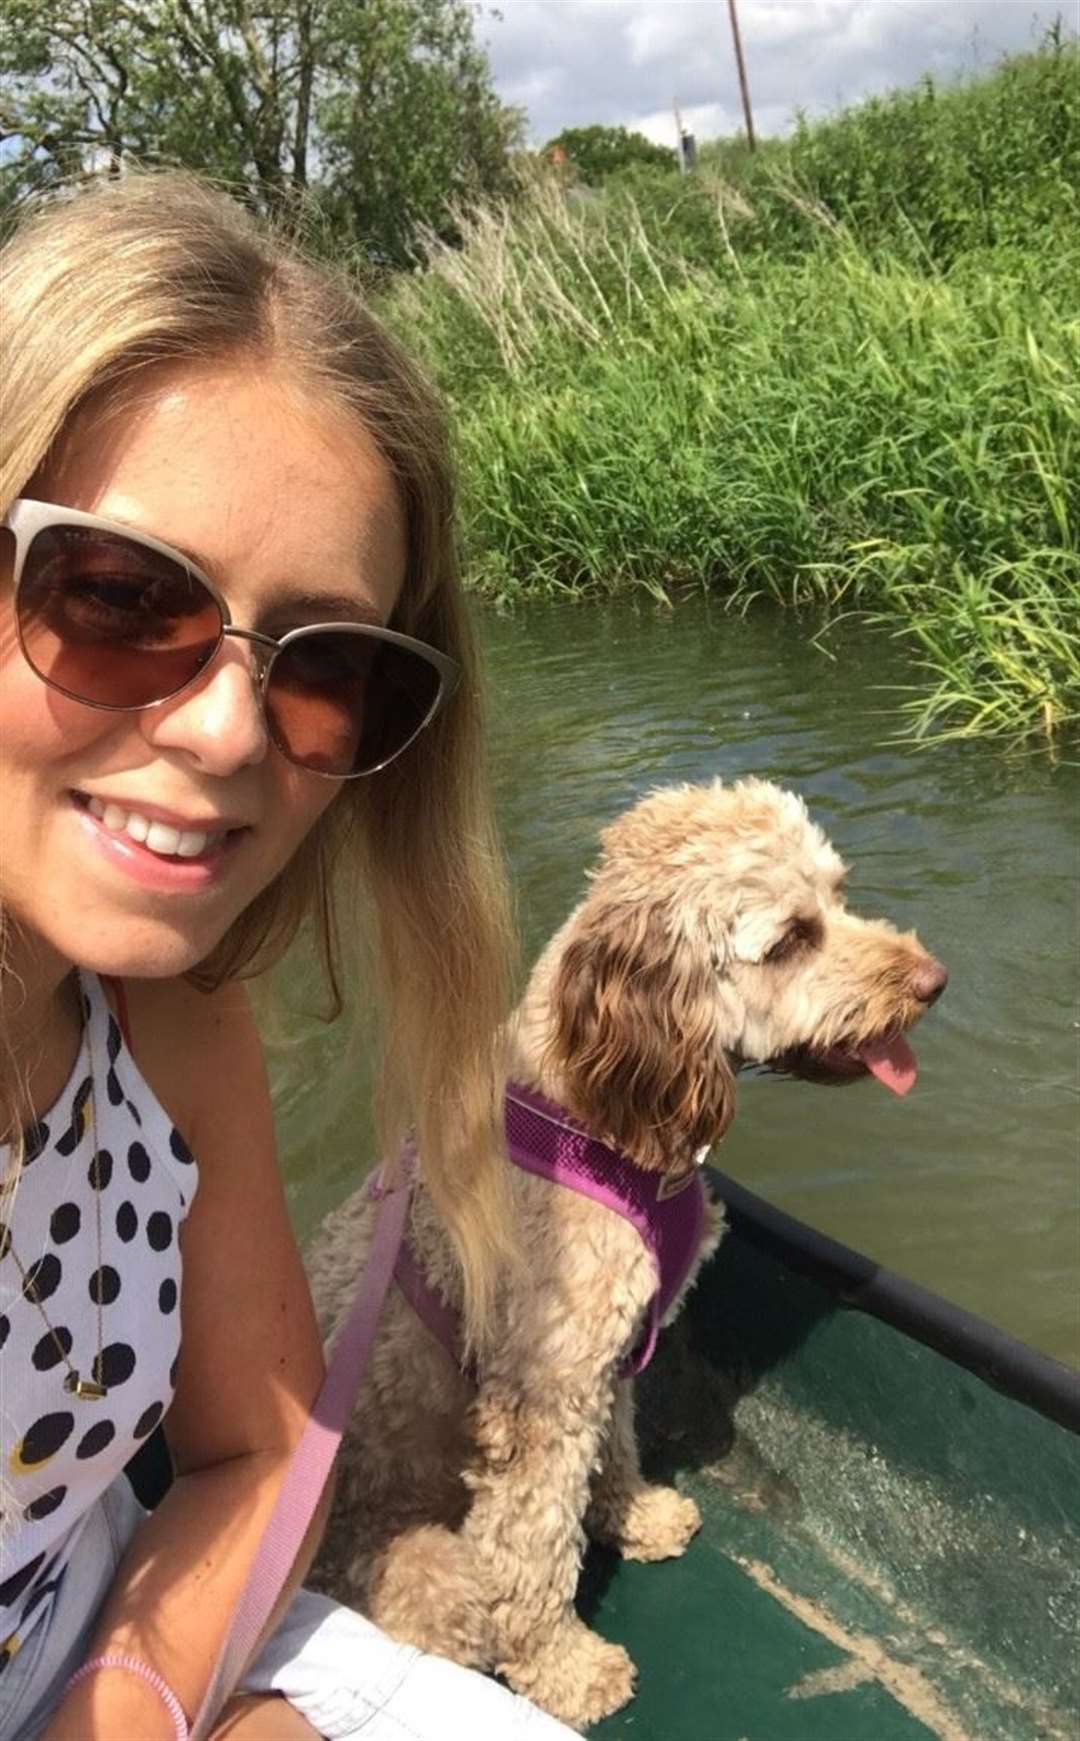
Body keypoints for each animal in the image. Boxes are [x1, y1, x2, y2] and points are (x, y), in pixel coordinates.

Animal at [306, 783, 947, 1734]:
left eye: (837, 894)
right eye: (792, 937)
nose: (931, 981)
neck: (593, 1116)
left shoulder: (606, 1358)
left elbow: (616, 1447)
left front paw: (635, 1516)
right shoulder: (541, 1392)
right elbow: (533, 1543)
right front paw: (566, 1666)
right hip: (429, 1574)